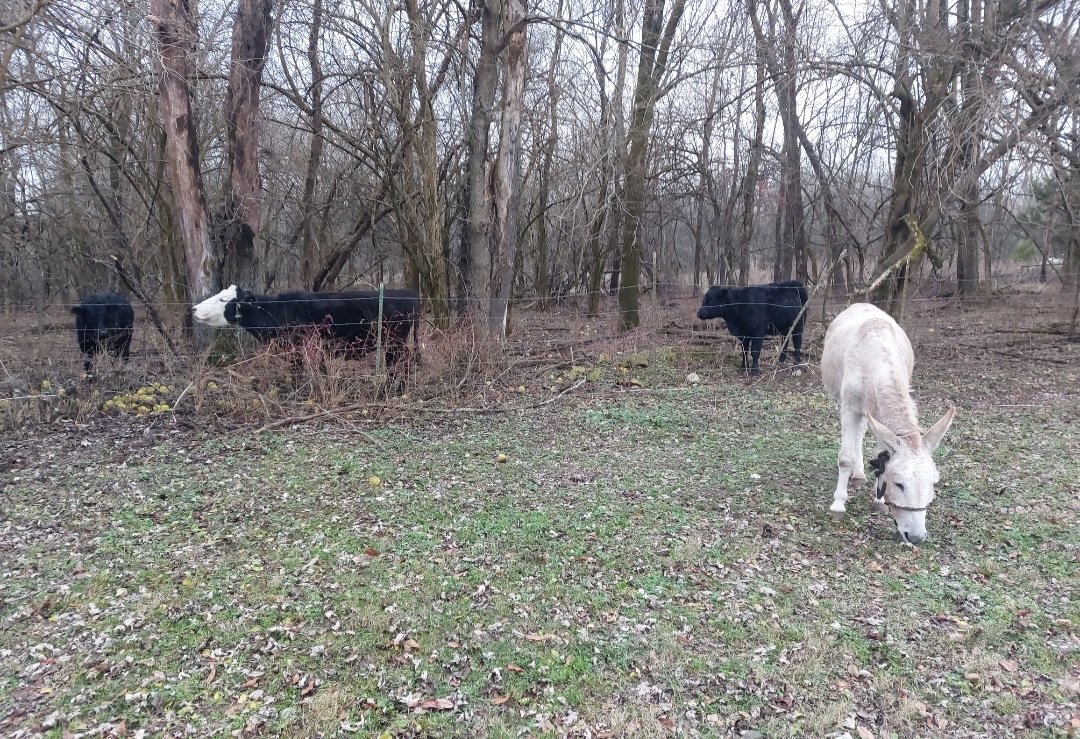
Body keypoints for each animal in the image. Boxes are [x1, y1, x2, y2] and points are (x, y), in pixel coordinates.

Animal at [821, 302, 956, 545]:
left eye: (933, 483)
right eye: (899, 484)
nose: (916, 537)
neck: (875, 362)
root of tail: (861, 304)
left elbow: (882, 454)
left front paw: (879, 500)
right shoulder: (849, 408)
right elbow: (844, 458)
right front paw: (838, 505)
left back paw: (859, 475)